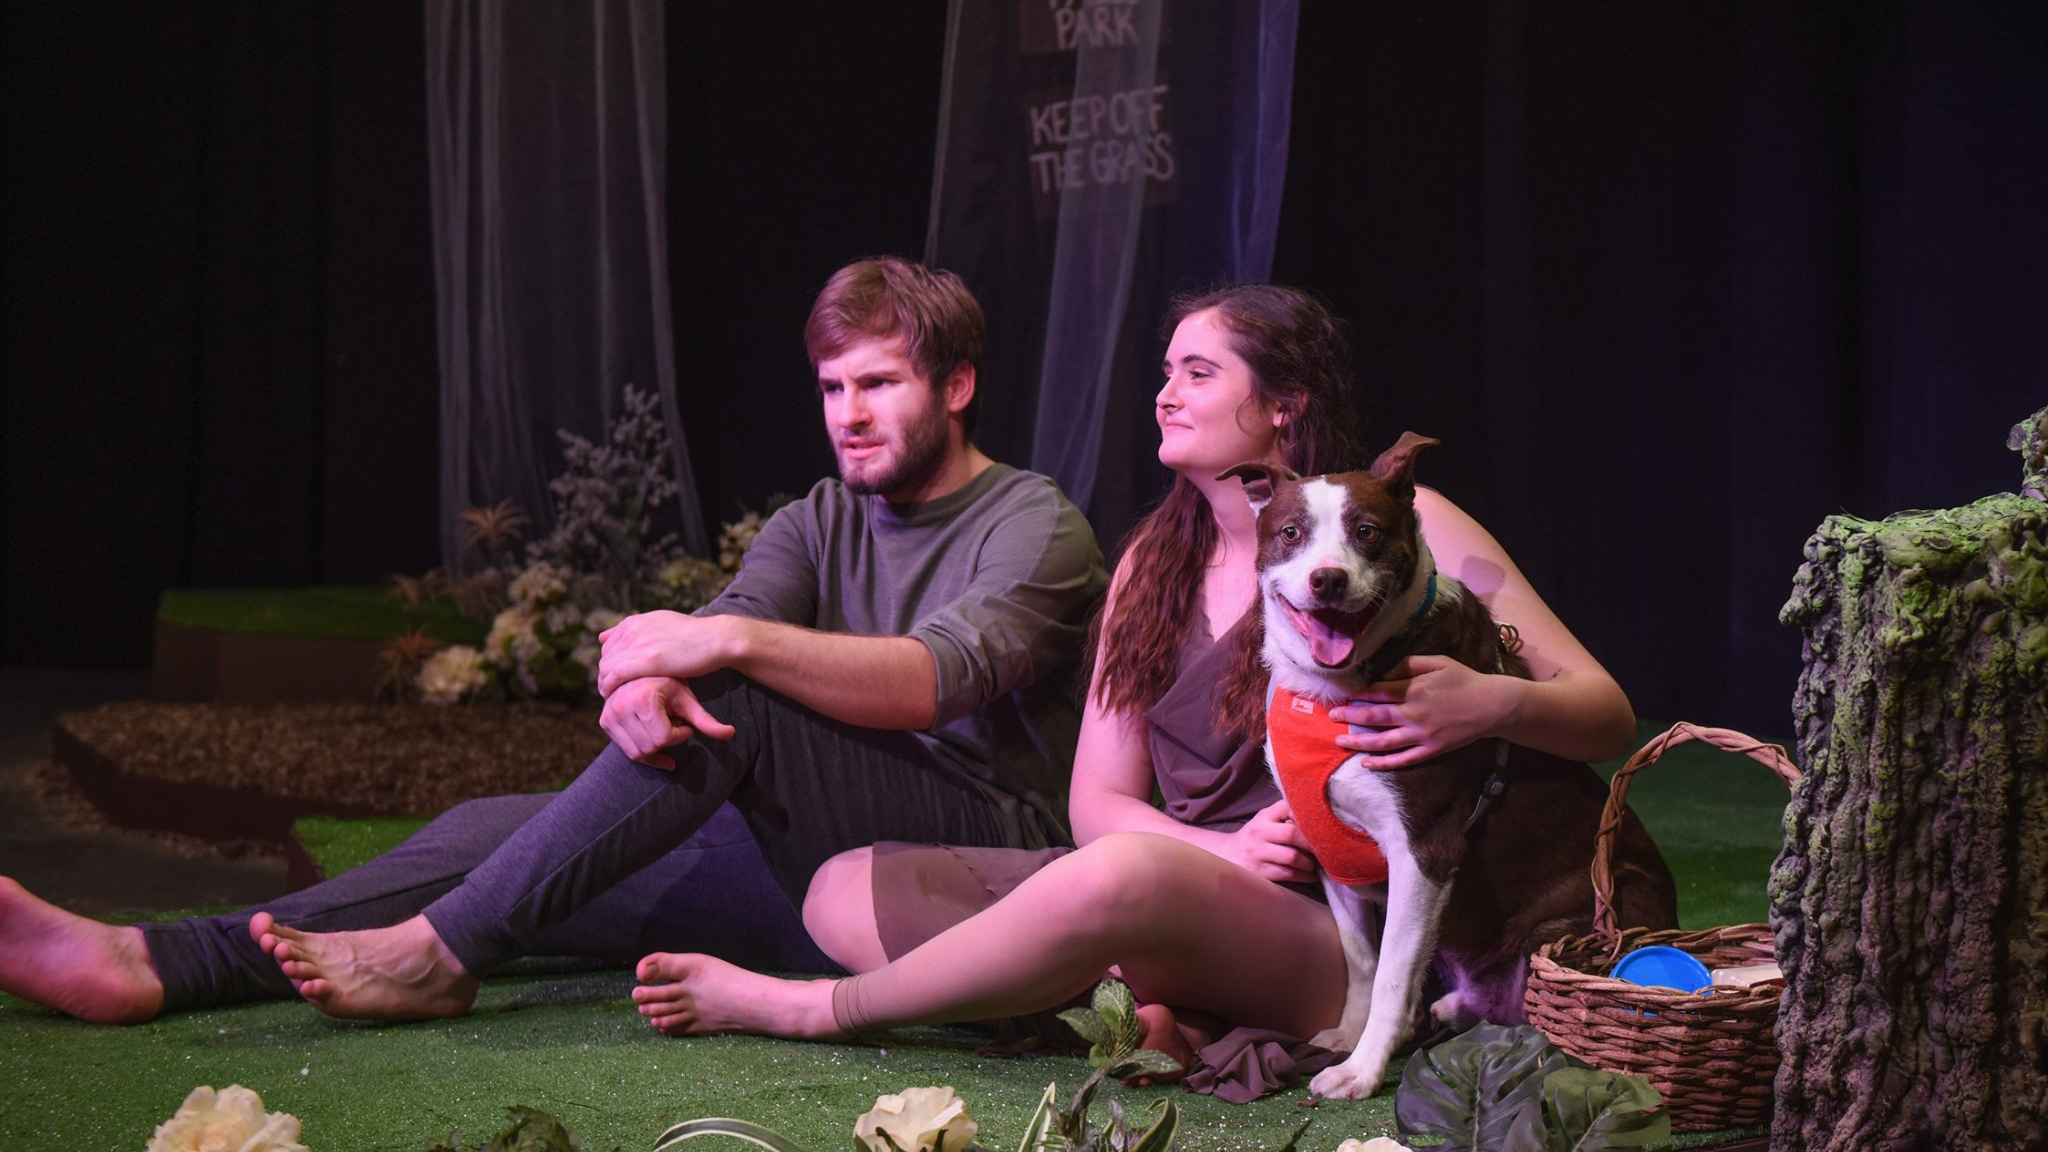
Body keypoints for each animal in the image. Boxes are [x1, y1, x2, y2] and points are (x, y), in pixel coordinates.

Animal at [1220, 433, 1676, 1100]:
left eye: (1367, 531)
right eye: (1291, 533)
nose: (1327, 580)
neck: (1338, 684)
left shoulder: (1425, 852)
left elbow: (1391, 972)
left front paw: (1361, 1070)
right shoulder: (1330, 846)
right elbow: (1361, 959)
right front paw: (1348, 1034)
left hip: (1582, 918)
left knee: (1522, 998)